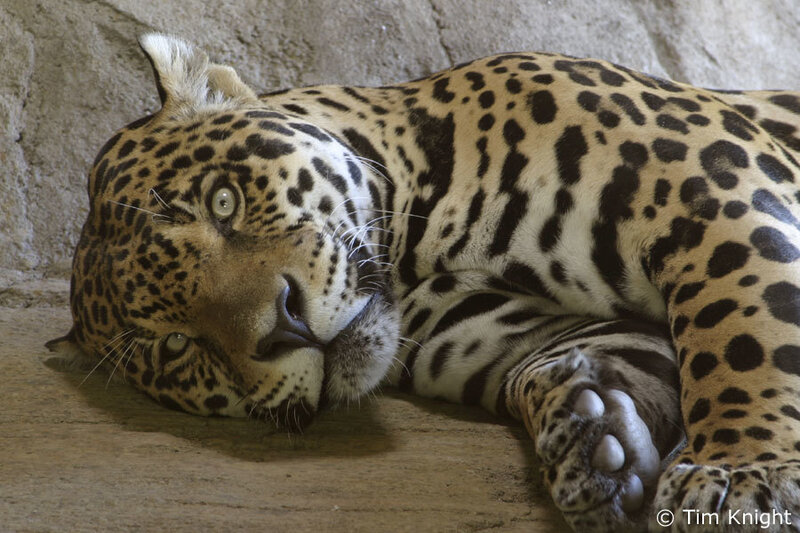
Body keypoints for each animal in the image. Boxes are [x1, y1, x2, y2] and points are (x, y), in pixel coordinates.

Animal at [47, 33, 800, 531]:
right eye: (177, 345)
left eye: (222, 202)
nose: (283, 325)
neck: (419, 249)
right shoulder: (525, 333)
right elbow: (565, 368)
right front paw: (590, 442)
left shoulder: (714, 189)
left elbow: (741, 340)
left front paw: (740, 476)